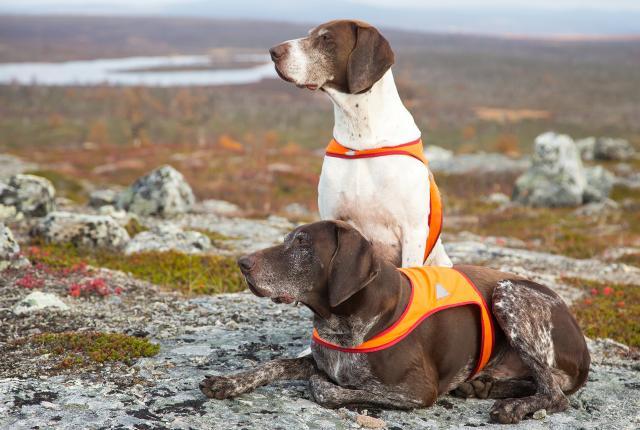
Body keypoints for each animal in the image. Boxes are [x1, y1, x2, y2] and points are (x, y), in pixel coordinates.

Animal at [201, 222, 592, 424]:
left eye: (302, 245)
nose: (242, 263)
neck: (345, 325)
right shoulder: (322, 358)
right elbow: (276, 363)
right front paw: (228, 382)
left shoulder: (419, 391)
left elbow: (332, 389)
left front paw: (322, 385)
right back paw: (483, 387)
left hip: (508, 295)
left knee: (555, 394)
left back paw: (513, 406)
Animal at [268, 21, 450, 268]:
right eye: (310, 34)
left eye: (326, 38)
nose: (273, 51)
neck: (362, 138)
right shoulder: (332, 216)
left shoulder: (413, 231)